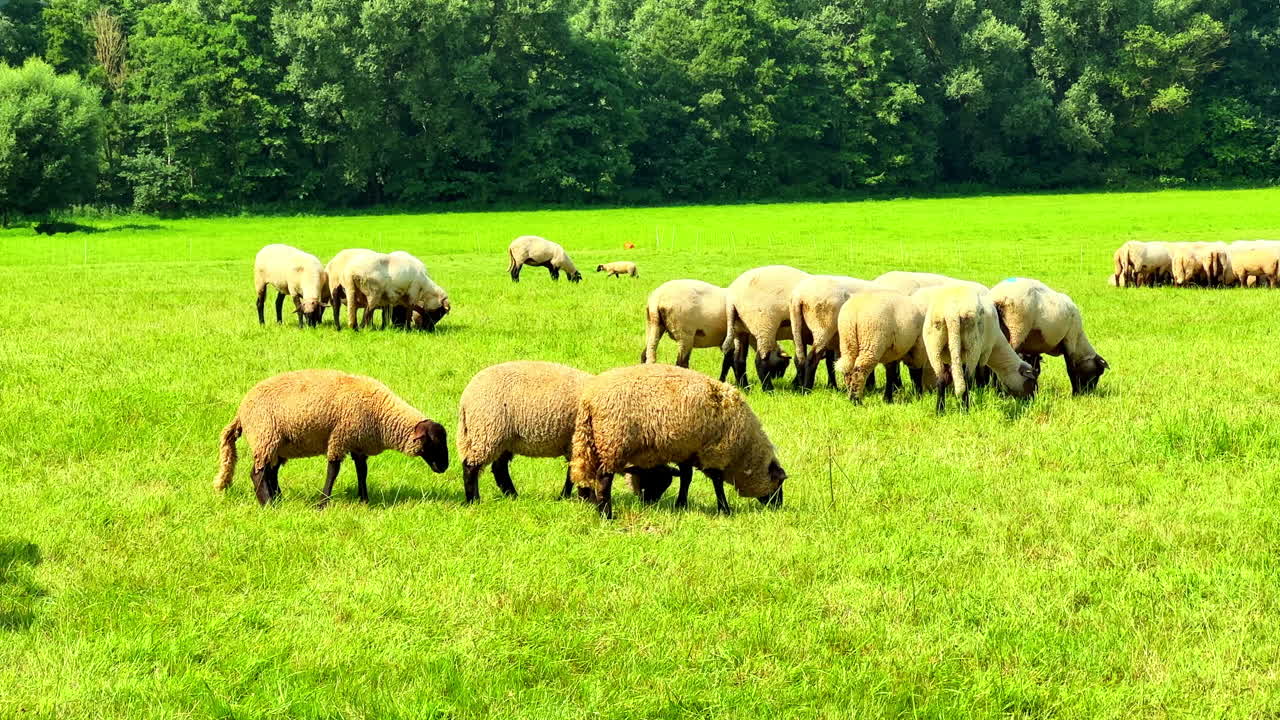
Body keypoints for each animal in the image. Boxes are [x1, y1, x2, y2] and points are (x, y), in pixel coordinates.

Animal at [214, 369, 449, 507]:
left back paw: (277, 498)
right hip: (265, 435)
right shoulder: (340, 438)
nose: (444, 467)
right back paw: (268, 504)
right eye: (433, 442)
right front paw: (323, 503)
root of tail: (241, 411)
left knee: (270, 472)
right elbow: (333, 471)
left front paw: (364, 500)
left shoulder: (357, 442)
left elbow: (362, 472)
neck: (381, 414)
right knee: (257, 473)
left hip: (277, 443)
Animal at [569, 364, 787, 519]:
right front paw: (724, 509)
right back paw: (607, 515)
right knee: (604, 480)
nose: (778, 506)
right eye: (778, 483)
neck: (744, 452)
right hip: (613, 443)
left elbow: (686, 478)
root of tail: (589, 400)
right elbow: (717, 481)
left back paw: (598, 508)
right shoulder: (715, 452)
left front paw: (681, 504)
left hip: (595, 444)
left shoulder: (687, 450)